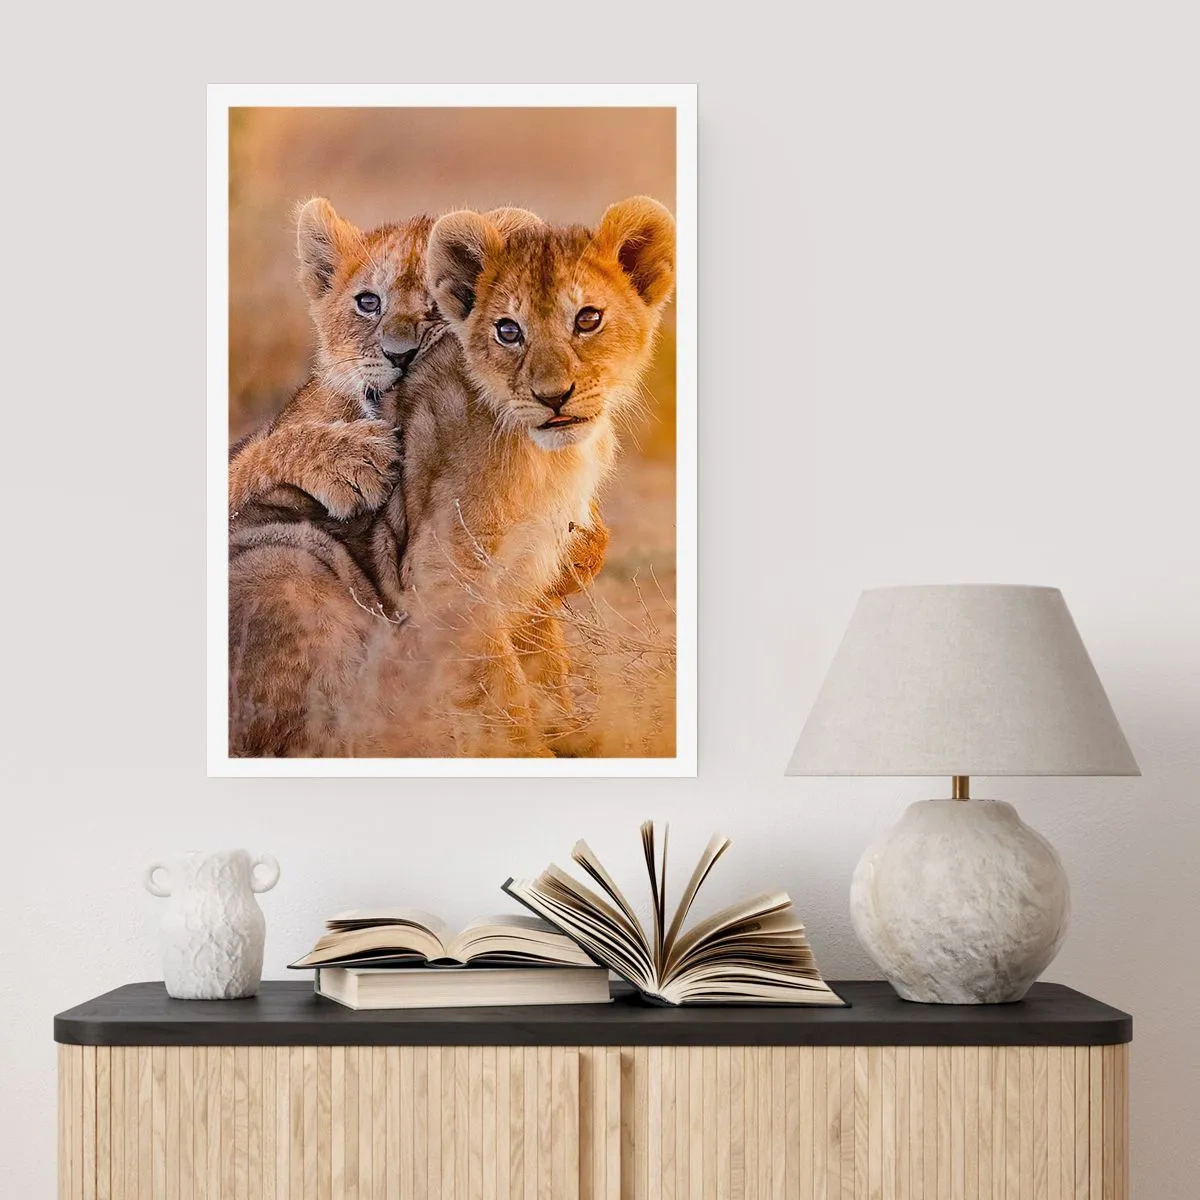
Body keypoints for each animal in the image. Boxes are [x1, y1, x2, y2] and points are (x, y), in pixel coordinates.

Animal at [228, 197, 673, 757]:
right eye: (508, 331)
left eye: (588, 319)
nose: (554, 397)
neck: (551, 455)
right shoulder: (446, 576)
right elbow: (502, 687)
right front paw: (529, 750)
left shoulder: (534, 571)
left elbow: (543, 662)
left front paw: (570, 732)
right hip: (292, 566)